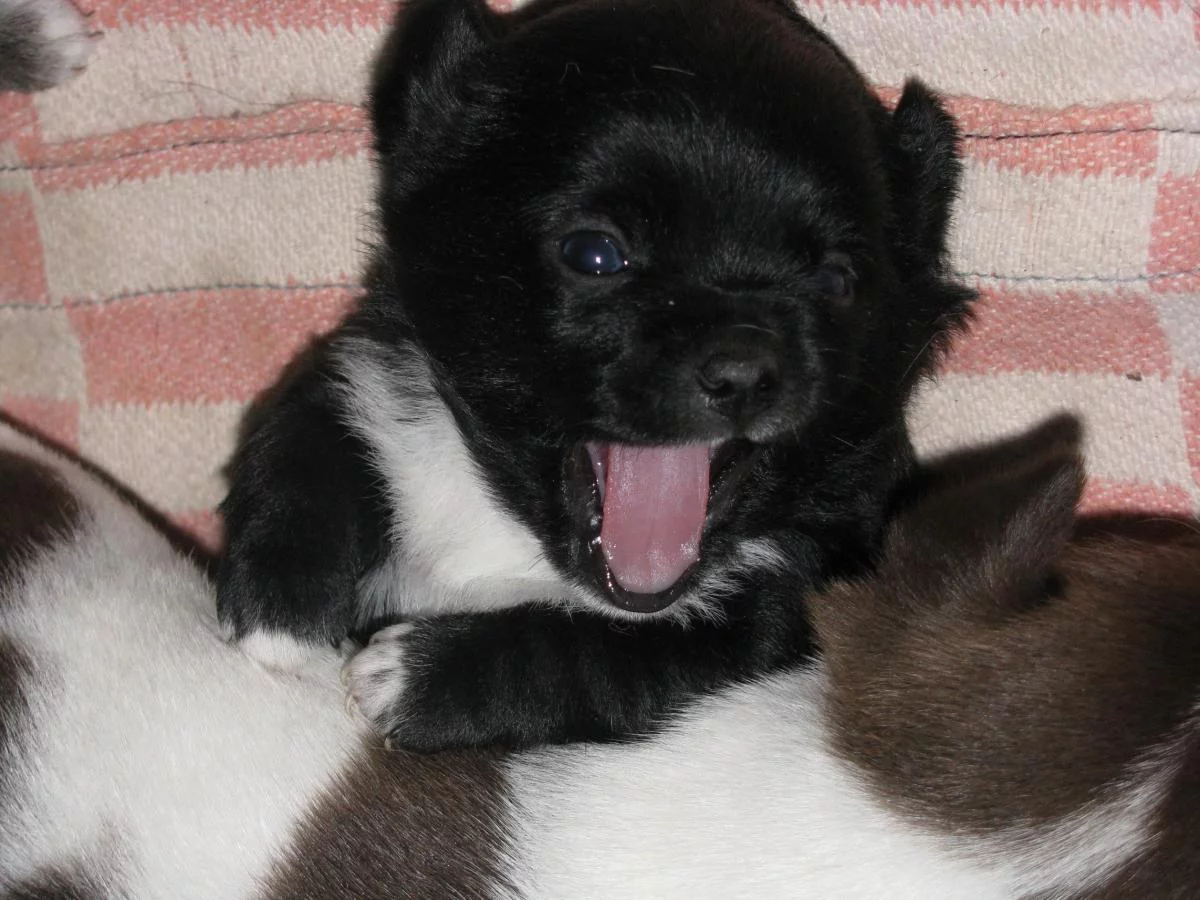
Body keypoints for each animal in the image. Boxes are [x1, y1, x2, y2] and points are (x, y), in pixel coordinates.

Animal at [218, 0, 975, 752]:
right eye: (595, 254)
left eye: (838, 282)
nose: (744, 368)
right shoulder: (366, 369)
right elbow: (303, 440)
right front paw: (283, 608)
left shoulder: (777, 611)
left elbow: (604, 658)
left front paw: (415, 677)